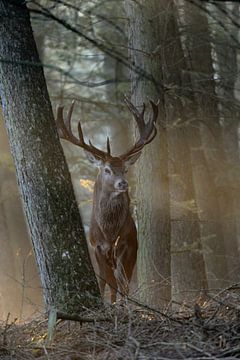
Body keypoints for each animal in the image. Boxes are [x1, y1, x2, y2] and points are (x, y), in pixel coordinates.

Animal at [55, 98, 158, 304]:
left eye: (125, 169)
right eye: (107, 170)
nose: (123, 183)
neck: (109, 232)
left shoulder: (127, 244)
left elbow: (122, 282)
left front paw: (122, 304)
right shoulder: (97, 247)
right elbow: (108, 282)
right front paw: (110, 304)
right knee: (105, 281)